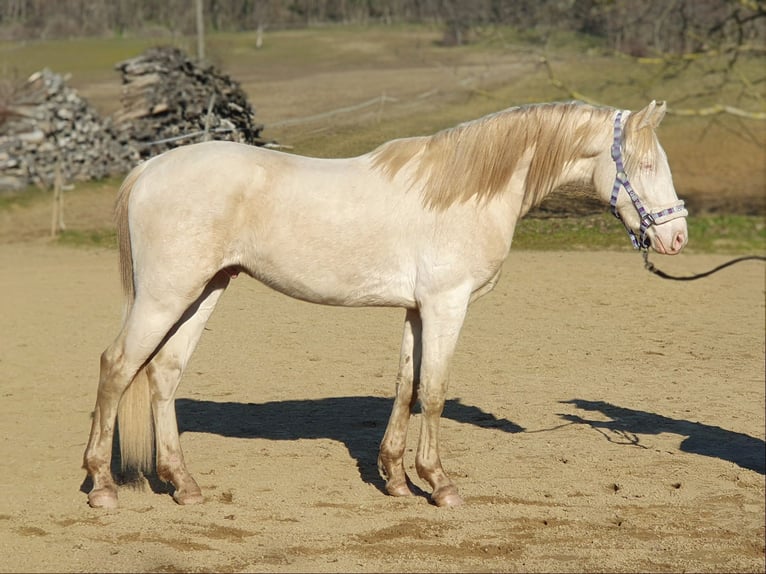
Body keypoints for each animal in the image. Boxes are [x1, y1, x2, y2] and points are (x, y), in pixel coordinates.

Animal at [82, 101, 688, 510]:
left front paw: (396, 479)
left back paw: (183, 485)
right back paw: (103, 487)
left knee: (163, 373)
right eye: (647, 165)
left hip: (205, 291)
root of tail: (149, 169)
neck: (465, 191)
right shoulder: (446, 305)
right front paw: (440, 484)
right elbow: (435, 392)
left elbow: (406, 387)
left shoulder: (417, 310)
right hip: (166, 295)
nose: (676, 237)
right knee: (116, 367)